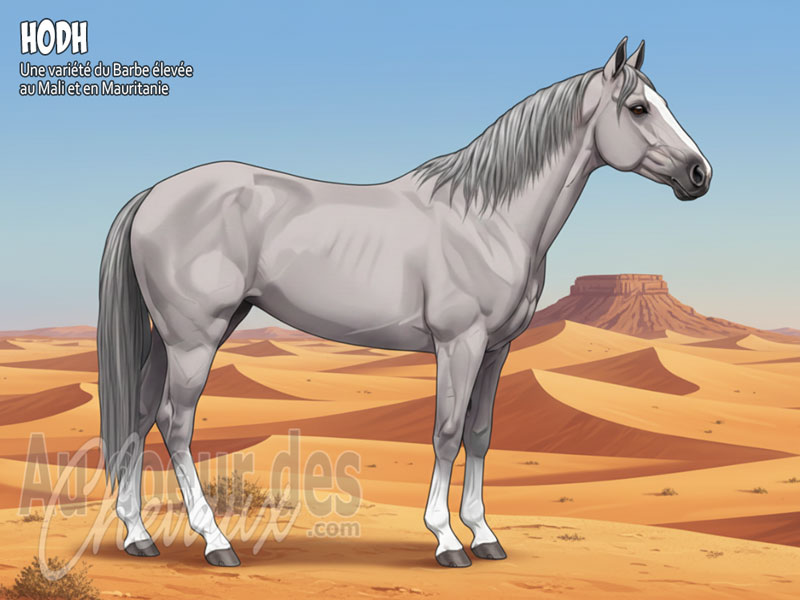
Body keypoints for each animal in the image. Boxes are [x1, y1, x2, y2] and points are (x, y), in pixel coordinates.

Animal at [98, 37, 711, 568]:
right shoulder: (458, 344)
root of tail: (153, 195)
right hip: (194, 338)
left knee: (141, 413)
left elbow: (480, 433)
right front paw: (447, 541)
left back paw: (138, 536)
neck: (488, 218)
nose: (700, 174)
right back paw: (215, 542)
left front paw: (484, 535)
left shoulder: (496, 350)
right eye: (638, 107)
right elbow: (445, 432)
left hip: (181, 337)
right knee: (176, 424)